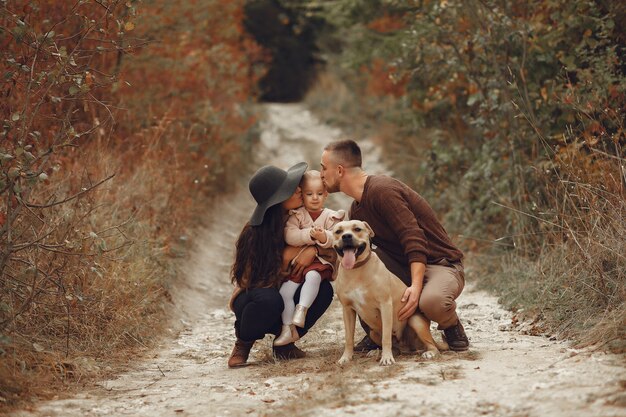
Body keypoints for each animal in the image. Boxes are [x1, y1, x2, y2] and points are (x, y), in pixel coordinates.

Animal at [330, 218, 446, 364]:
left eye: (357, 229)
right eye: (338, 231)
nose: (346, 236)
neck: (356, 270)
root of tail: (406, 347)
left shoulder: (385, 305)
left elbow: (386, 337)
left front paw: (386, 358)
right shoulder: (347, 309)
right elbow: (348, 337)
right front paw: (346, 357)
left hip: (416, 322)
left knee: (430, 344)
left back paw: (430, 352)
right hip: (373, 332)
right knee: (394, 348)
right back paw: (377, 352)